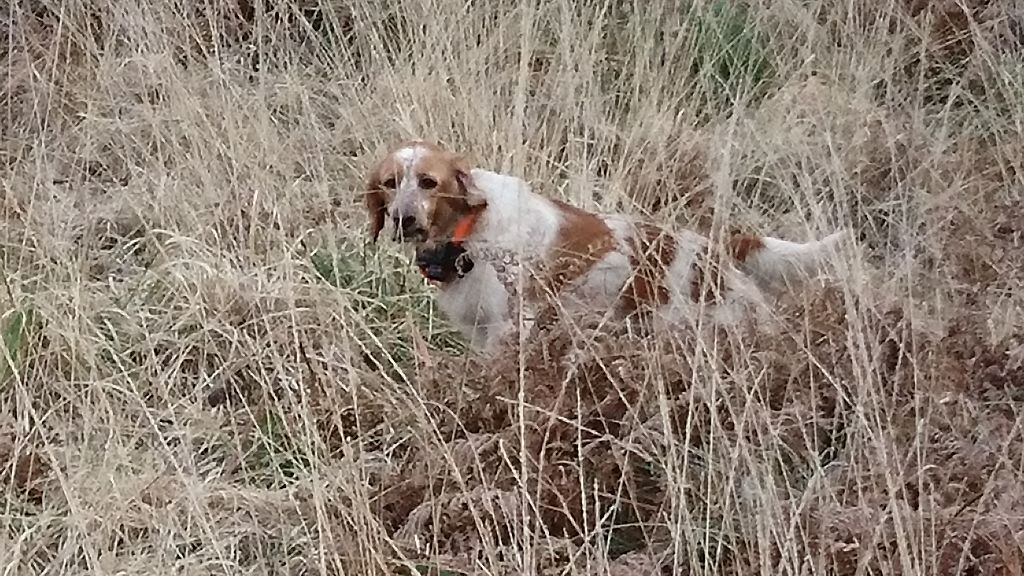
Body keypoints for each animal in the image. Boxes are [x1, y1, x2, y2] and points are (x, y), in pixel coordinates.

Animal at [366, 140, 847, 354]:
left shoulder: (511, 327)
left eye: (428, 182)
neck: (469, 231)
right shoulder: (480, 333)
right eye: (390, 183)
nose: (403, 218)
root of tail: (712, 245)